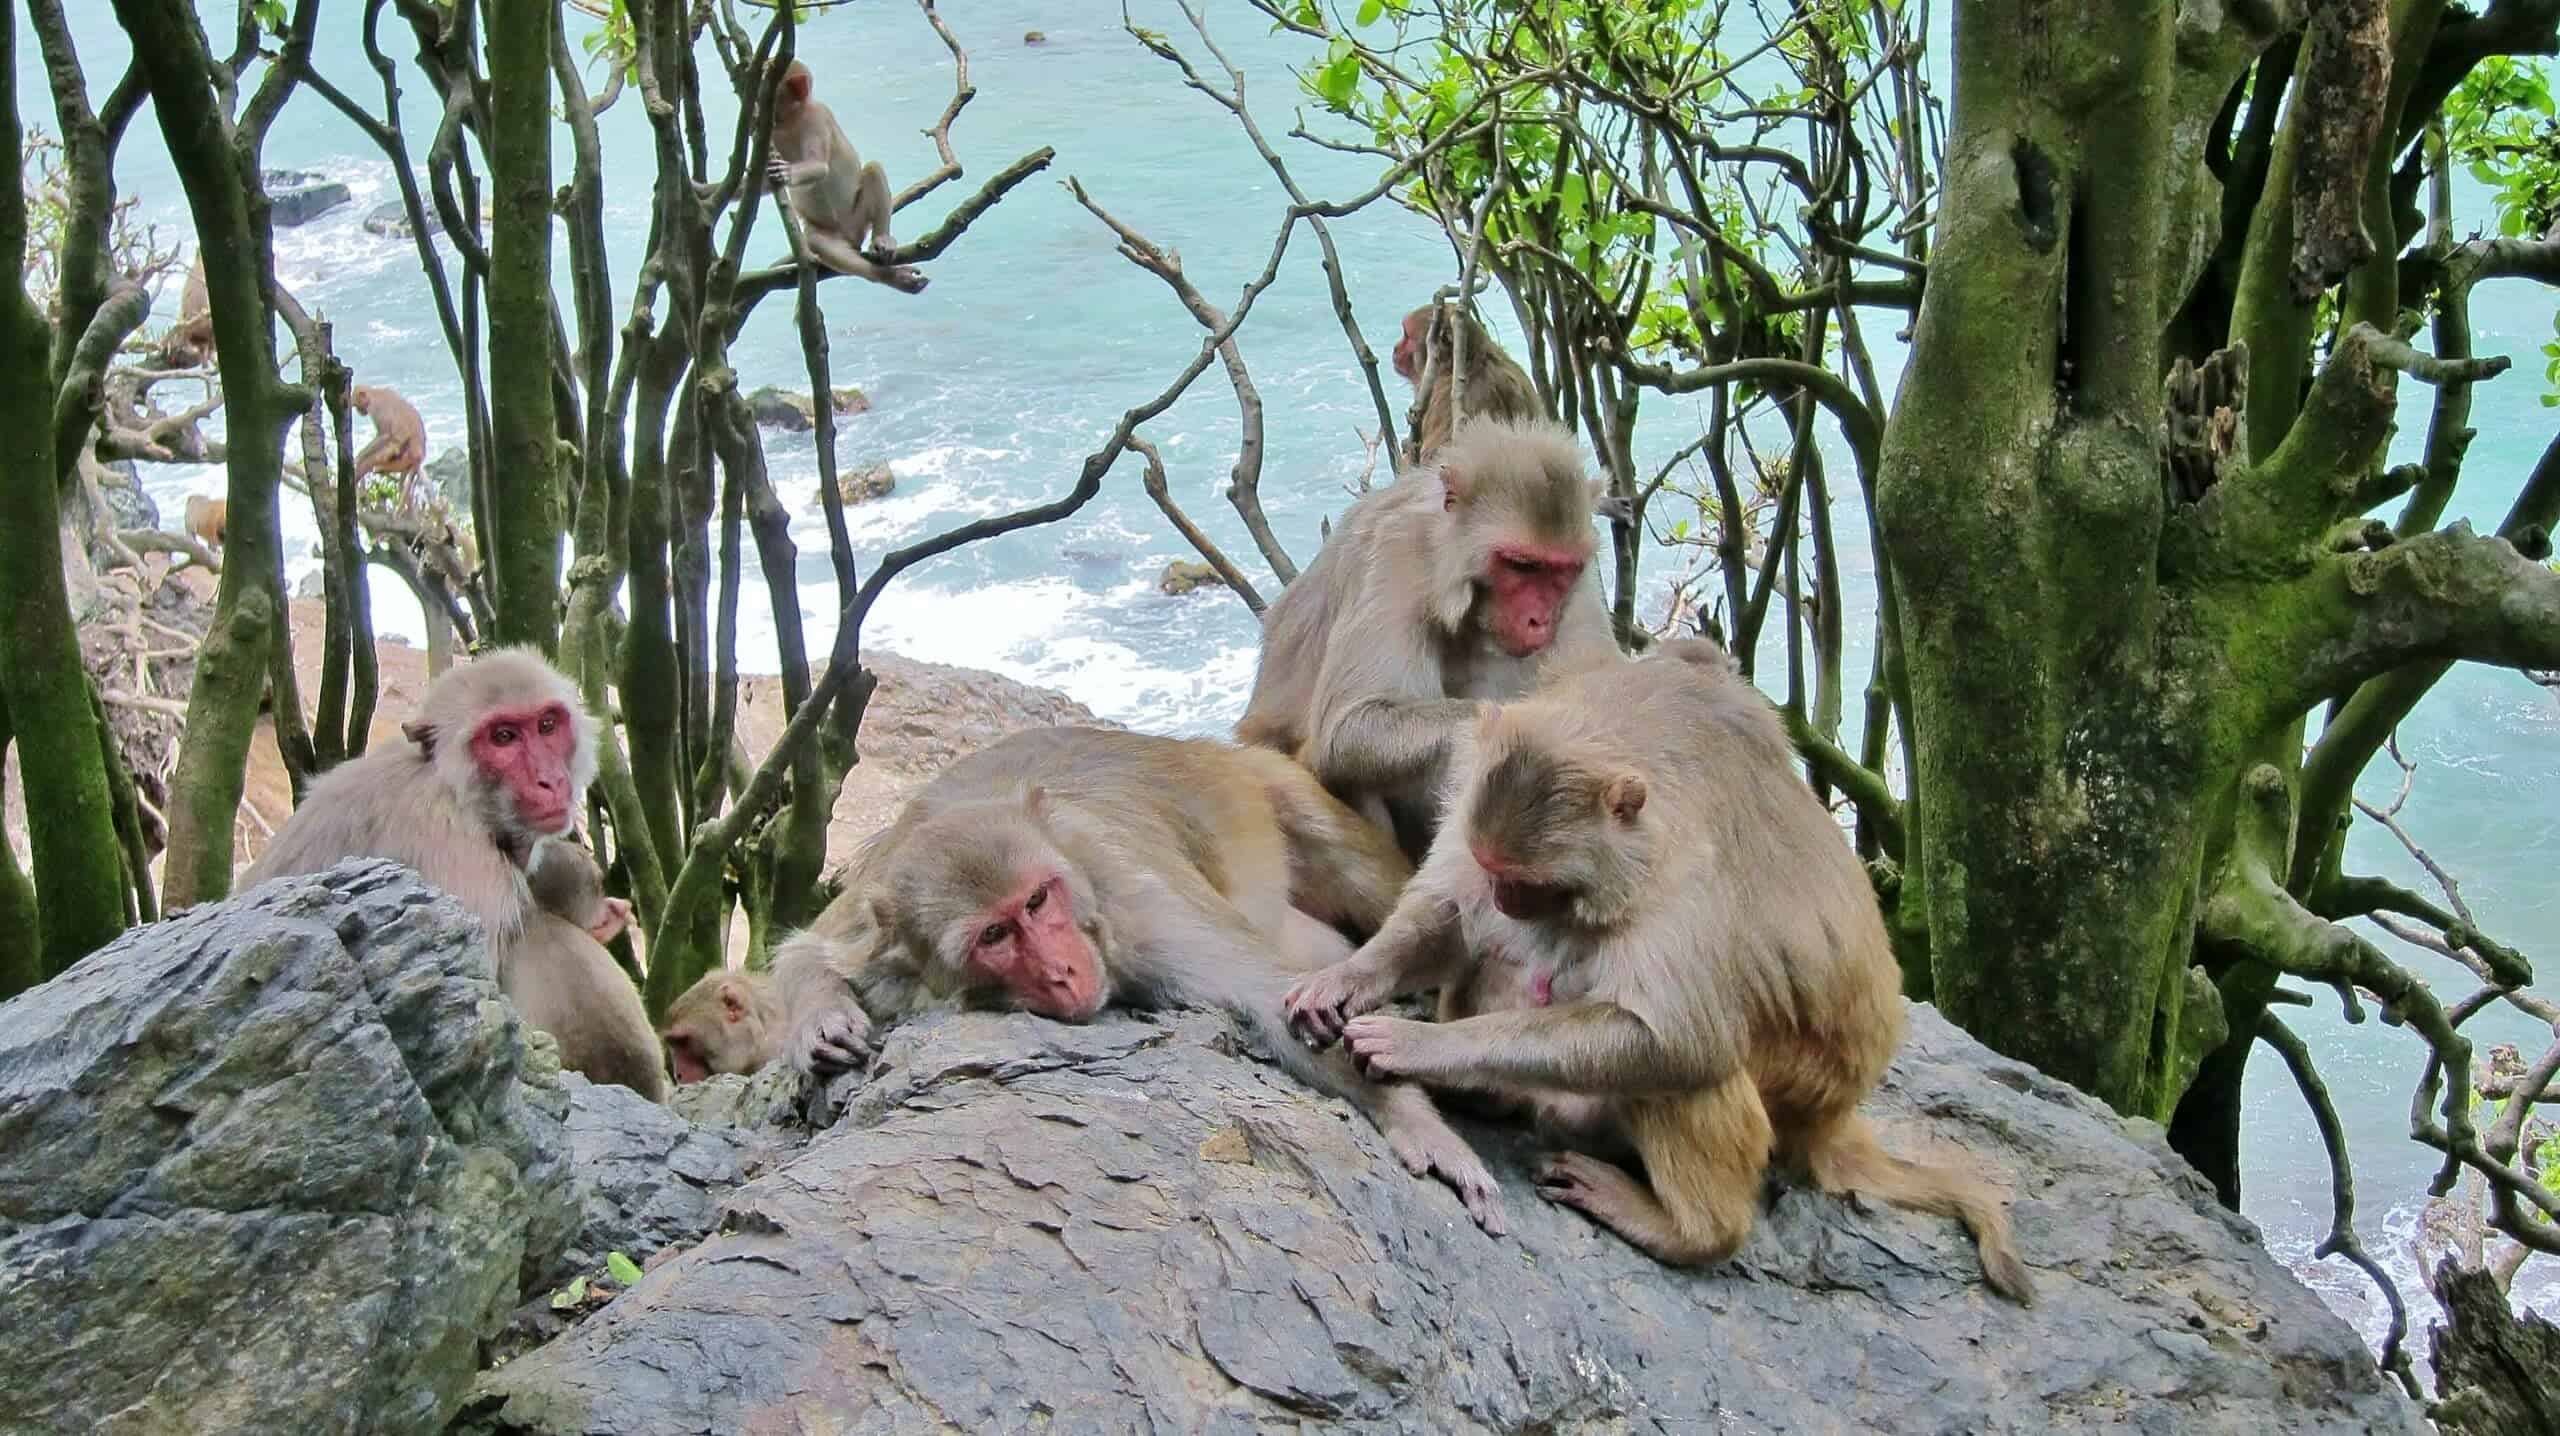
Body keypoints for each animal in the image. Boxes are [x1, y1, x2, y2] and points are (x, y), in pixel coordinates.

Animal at [766, 59, 928, 295]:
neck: (790, 119)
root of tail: (850, 237)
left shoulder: (817, 117)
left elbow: (819, 166)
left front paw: (787, 172)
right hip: (827, 231)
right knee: (817, 241)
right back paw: (887, 275)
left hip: (856, 220)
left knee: (873, 169)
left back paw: (883, 241)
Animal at [770, 724, 1509, 1230]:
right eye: (994, 936)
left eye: (1036, 901)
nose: (1064, 970)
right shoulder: (882, 930)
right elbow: (809, 949)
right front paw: (822, 1020)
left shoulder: (1141, 906)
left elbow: (1267, 996)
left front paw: (1415, 1121)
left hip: (1268, 782)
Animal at [1234, 416, 1621, 859]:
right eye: (1522, 566)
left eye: (1560, 571)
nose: (1539, 620)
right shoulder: (1395, 554)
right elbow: (1349, 725)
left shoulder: (1580, 584)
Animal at [1281, 640, 2035, 1302]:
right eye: (1499, 873)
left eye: (1533, 884)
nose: (1504, 899)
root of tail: (1832, 1117)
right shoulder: (1473, 795)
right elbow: (1447, 915)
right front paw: (1348, 978)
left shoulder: (1681, 877)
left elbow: (1674, 1041)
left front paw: (1421, 1045)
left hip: (1793, 1091)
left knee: (1685, 1067)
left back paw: (1692, 1230)